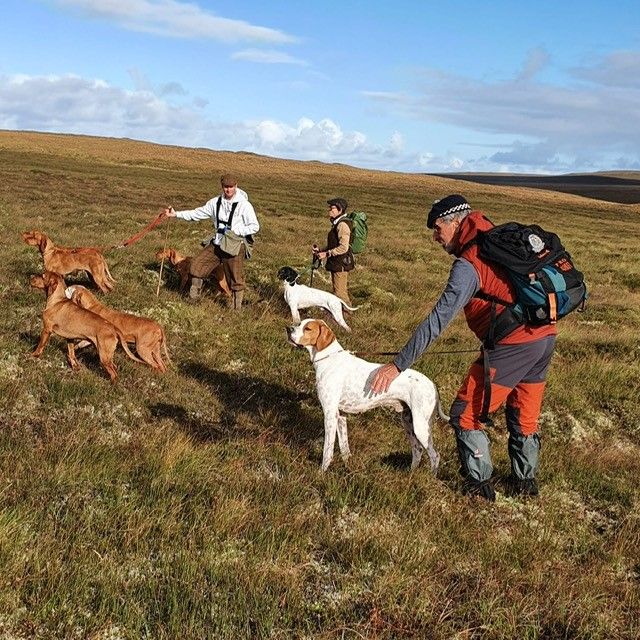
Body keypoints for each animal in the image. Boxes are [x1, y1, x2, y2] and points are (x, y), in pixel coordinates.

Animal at [284, 318, 444, 472]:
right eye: (299, 323)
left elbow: (327, 450)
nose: (288, 328)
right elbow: (344, 448)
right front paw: (347, 467)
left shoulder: (329, 414)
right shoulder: (340, 415)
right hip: (408, 422)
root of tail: (432, 385)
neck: (329, 358)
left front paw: (322, 472)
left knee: (435, 455)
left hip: (421, 427)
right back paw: (410, 475)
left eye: (308, 328)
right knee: (417, 451)